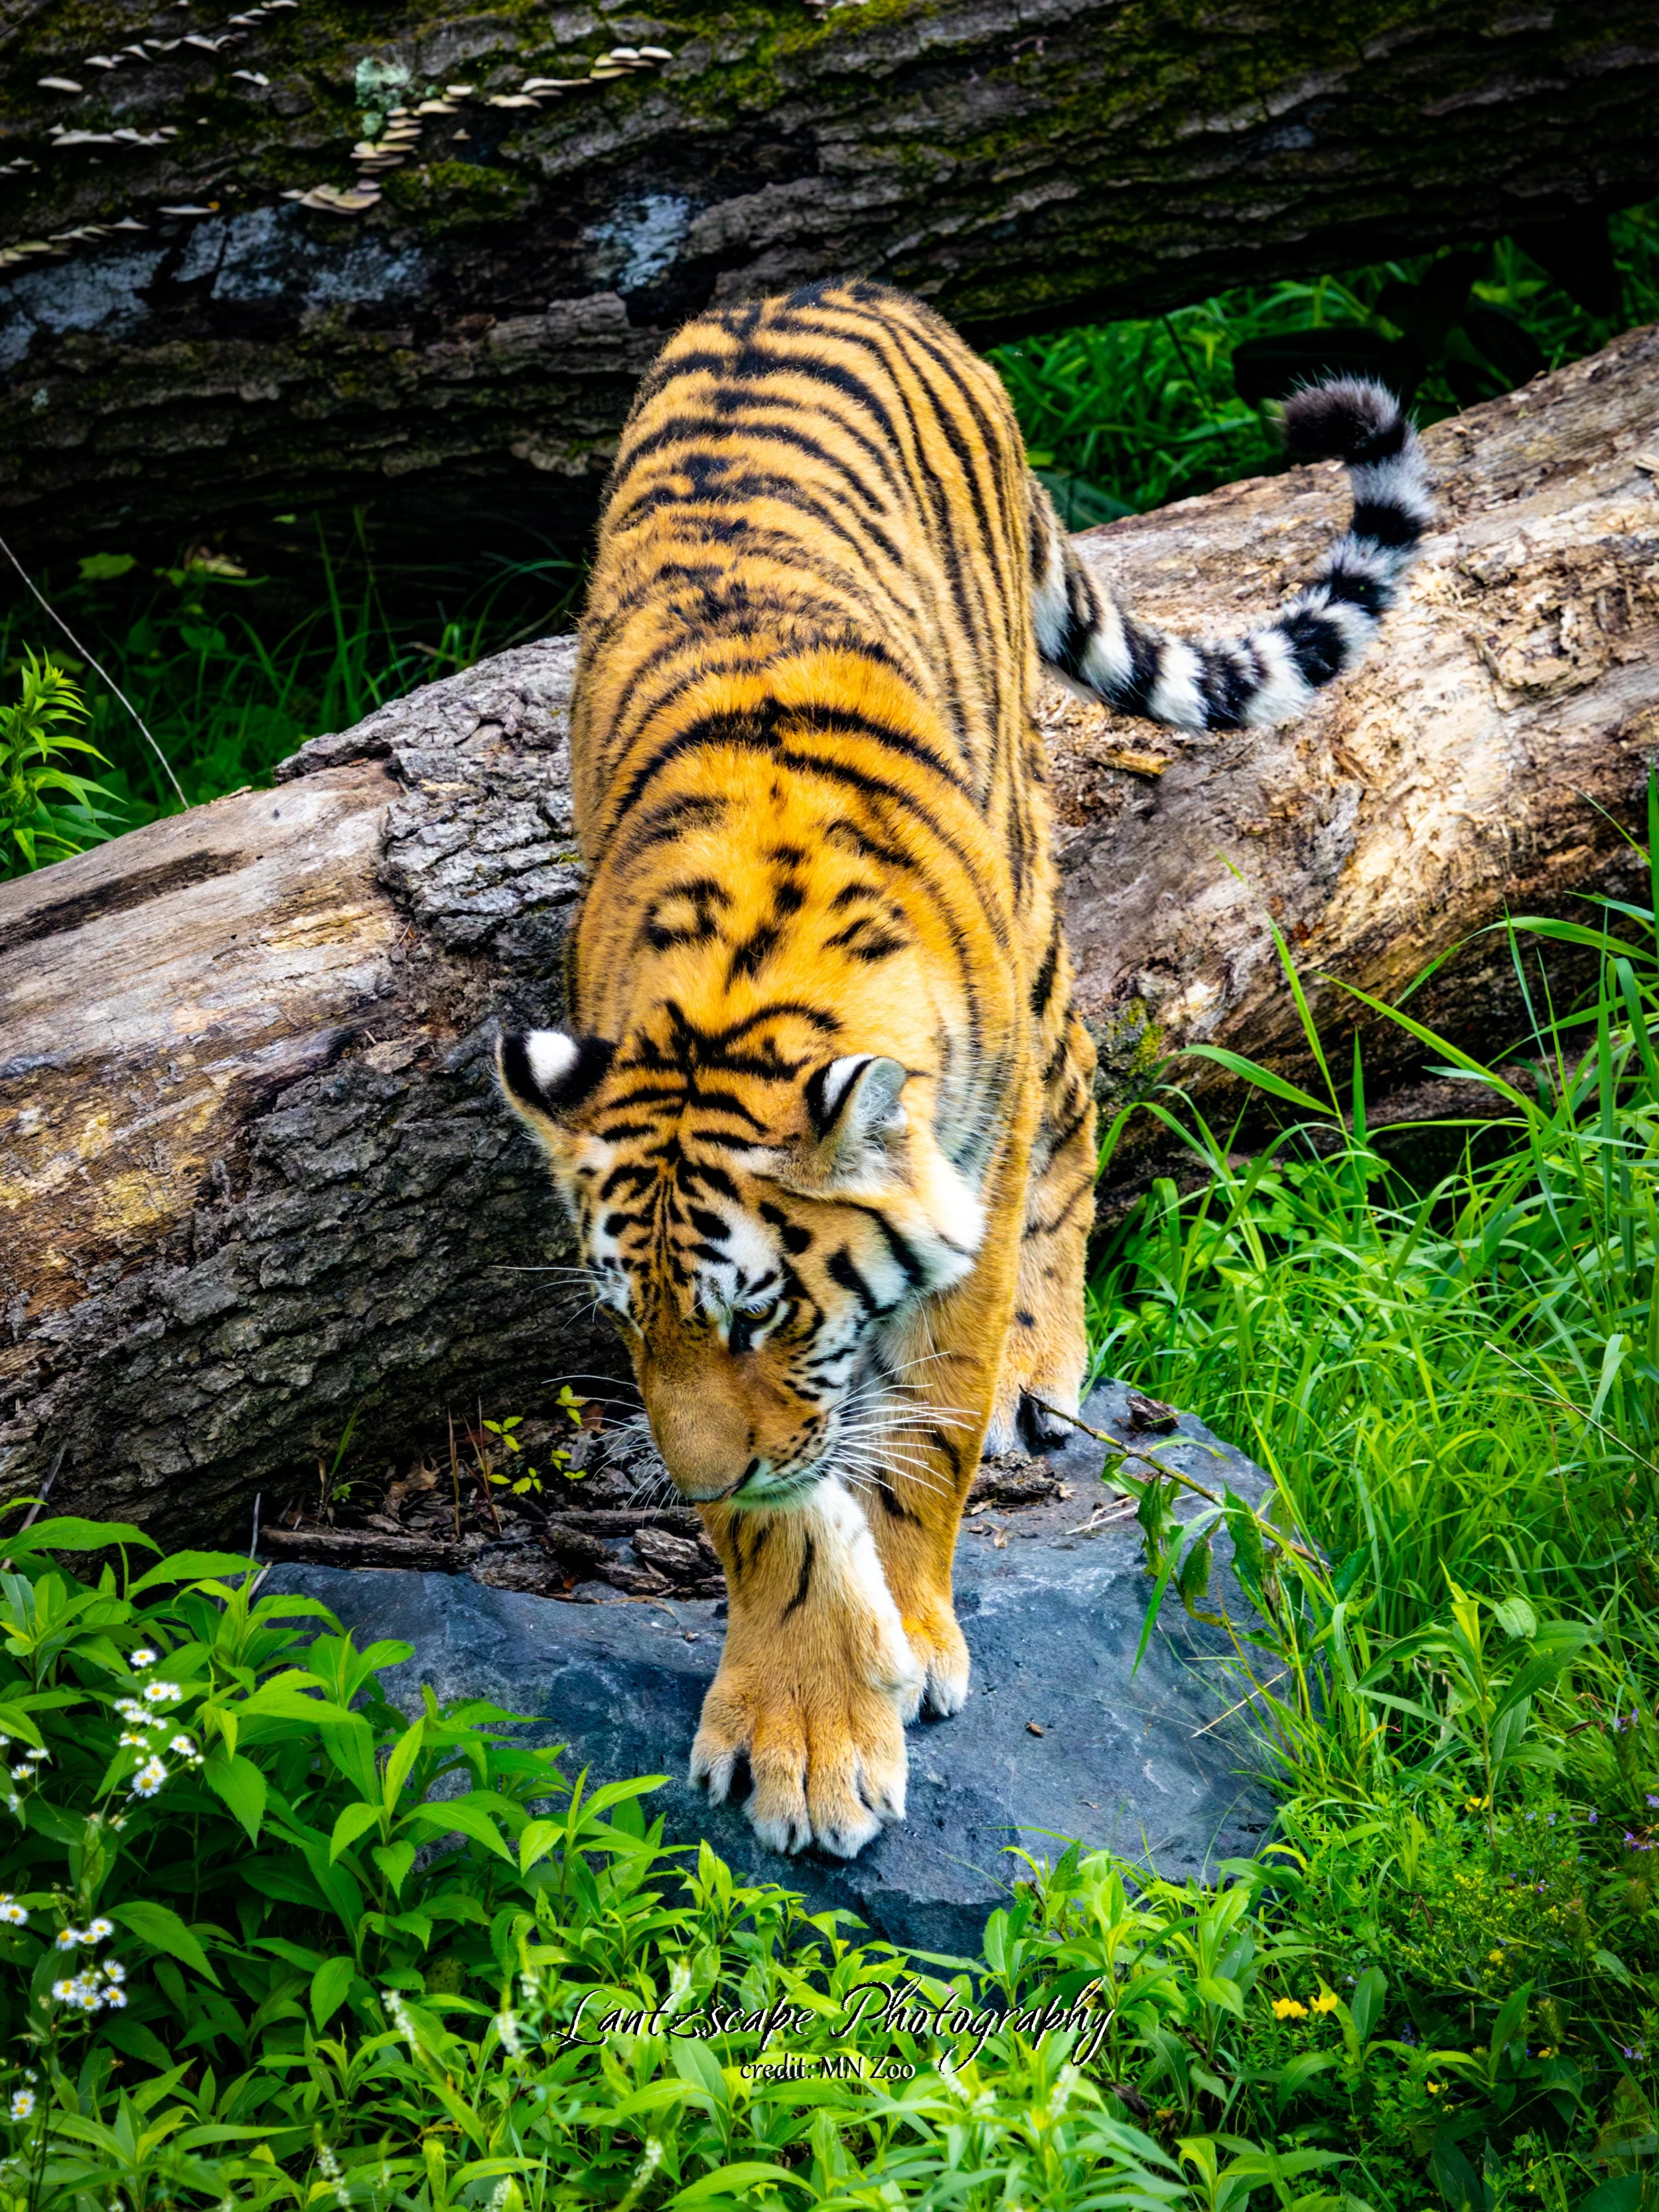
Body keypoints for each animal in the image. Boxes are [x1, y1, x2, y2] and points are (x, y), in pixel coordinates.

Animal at [497, 277, 1430, 1859]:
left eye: (758, 1312)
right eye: (631, 1322)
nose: (685, 1479)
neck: (743, 985)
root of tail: (821, 285)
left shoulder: (963, 1199)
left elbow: (921, 1434)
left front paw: (910, 1639)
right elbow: (786, 1515)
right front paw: (808, 1724)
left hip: (1034, 890)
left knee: (1080, 1087)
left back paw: (1041, 1373)